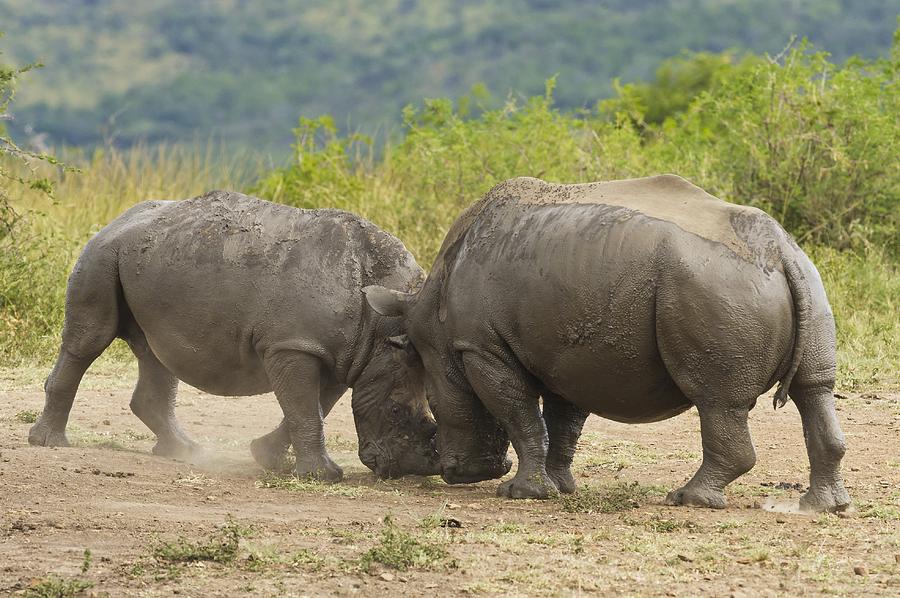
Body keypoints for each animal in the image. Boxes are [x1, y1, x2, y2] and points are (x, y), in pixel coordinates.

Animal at [30, 192, 442, 482]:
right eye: (395, 411)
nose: (408, 470)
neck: (379, 330)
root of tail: (117, 220)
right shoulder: (292, 345)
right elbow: (305, 407)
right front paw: (323, 477)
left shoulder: (344, 355)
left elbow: (314, 407)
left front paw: (267, 458)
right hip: (101, 254)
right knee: (90, 340)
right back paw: (50, 444)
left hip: (148, 259)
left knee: (155, 354)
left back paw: (183, 452)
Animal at [364, 175, 852, 516]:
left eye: (432, 402)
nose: (458, 474)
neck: (432, 311)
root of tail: (779, 250)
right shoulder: (569, 353)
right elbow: (562, 422)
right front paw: (560, 489)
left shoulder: (481, 348)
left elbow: (519, 415)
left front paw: (520, 493)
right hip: (804, 280)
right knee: (814, 389)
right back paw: (822, 507)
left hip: (716, 287)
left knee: (717, 400)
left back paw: (687, 499)